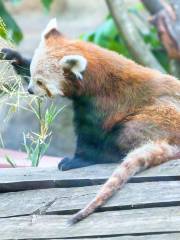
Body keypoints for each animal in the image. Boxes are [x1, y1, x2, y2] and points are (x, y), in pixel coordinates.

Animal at [2, 18, 180, 223]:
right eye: (32, 76)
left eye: (40, 82)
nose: (30, 90)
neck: (94, 76)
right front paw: (13, 56)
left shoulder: (104, 102)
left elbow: (90, 134)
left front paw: (77, 160)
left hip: (157, 117)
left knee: (123, 135)